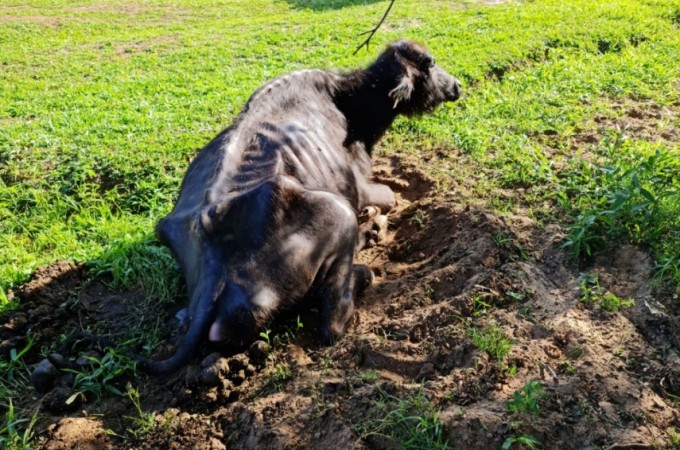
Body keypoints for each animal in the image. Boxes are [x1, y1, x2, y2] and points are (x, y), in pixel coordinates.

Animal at [137, 40, 462, 374]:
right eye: (429, 63)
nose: (457, 86)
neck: (348, 106)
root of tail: (212, 254)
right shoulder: (361, 187)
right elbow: (391, 196)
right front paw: (375, 219)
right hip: (339, 212)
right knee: (333, 322)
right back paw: (366, 254)